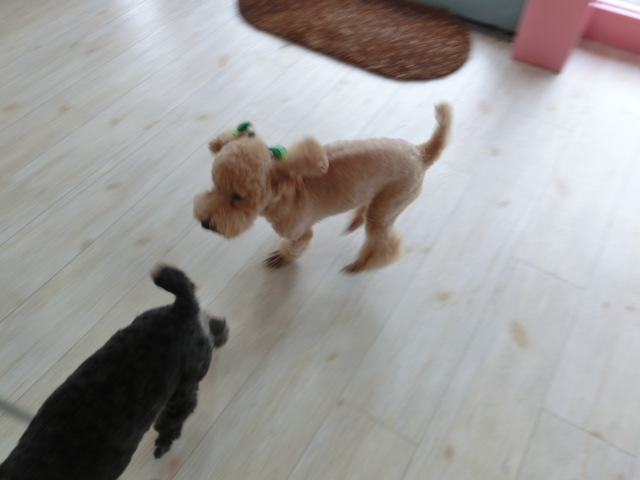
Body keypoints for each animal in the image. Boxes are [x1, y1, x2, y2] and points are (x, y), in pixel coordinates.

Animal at [0, 265, 228, 480]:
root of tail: (180, 311)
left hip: (183, 385)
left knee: (178, 414)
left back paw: (163, 442)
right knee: (210, 321)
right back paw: (221, 333)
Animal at [194, 103, 451, 273]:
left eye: (238, 197)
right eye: (215, 186)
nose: (205, 223)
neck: (284, 194)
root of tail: (420, 153)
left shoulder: (299, 232)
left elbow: (295, 247)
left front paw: (282, 258)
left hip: (389, 205)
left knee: (385, 246)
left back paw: (361, 264)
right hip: (381, 196)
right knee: (368, 208)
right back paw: (355, 220)